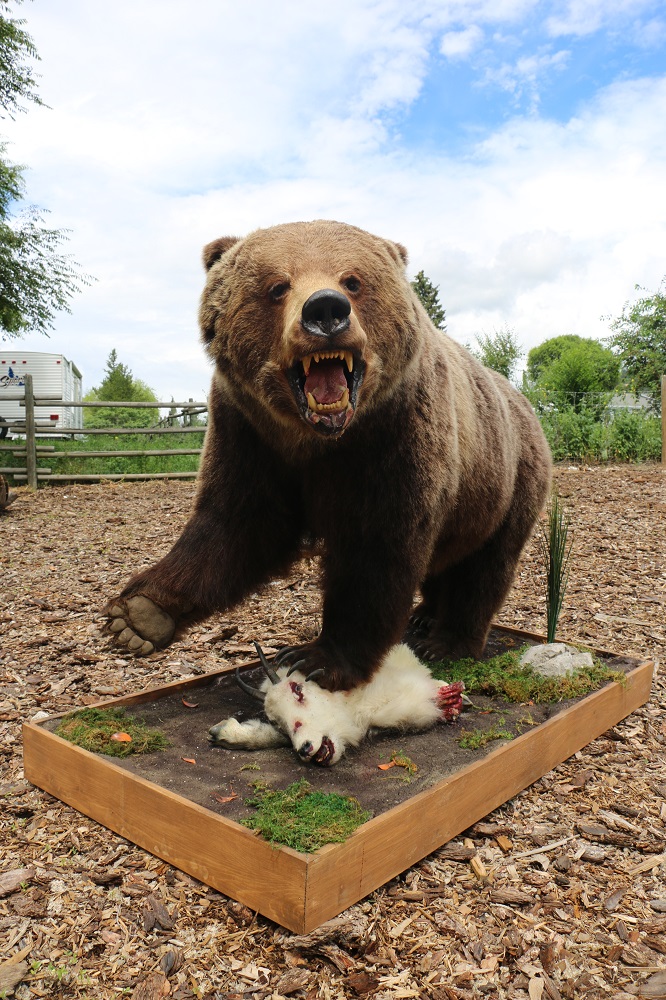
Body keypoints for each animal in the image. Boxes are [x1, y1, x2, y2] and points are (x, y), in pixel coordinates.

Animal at [105, 220, 552, 691]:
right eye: (277, 286)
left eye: (353, 281)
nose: (325, 310)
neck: (319, 439)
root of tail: (526, 404)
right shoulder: (249, 432)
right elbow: (237, 523)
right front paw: (139, 616)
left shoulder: (393, 437)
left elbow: (375, 551)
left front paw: (317, 657)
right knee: (446, 558)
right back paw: (424, 616)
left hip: (506, 478)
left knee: (484, 568)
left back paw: (448, 641)